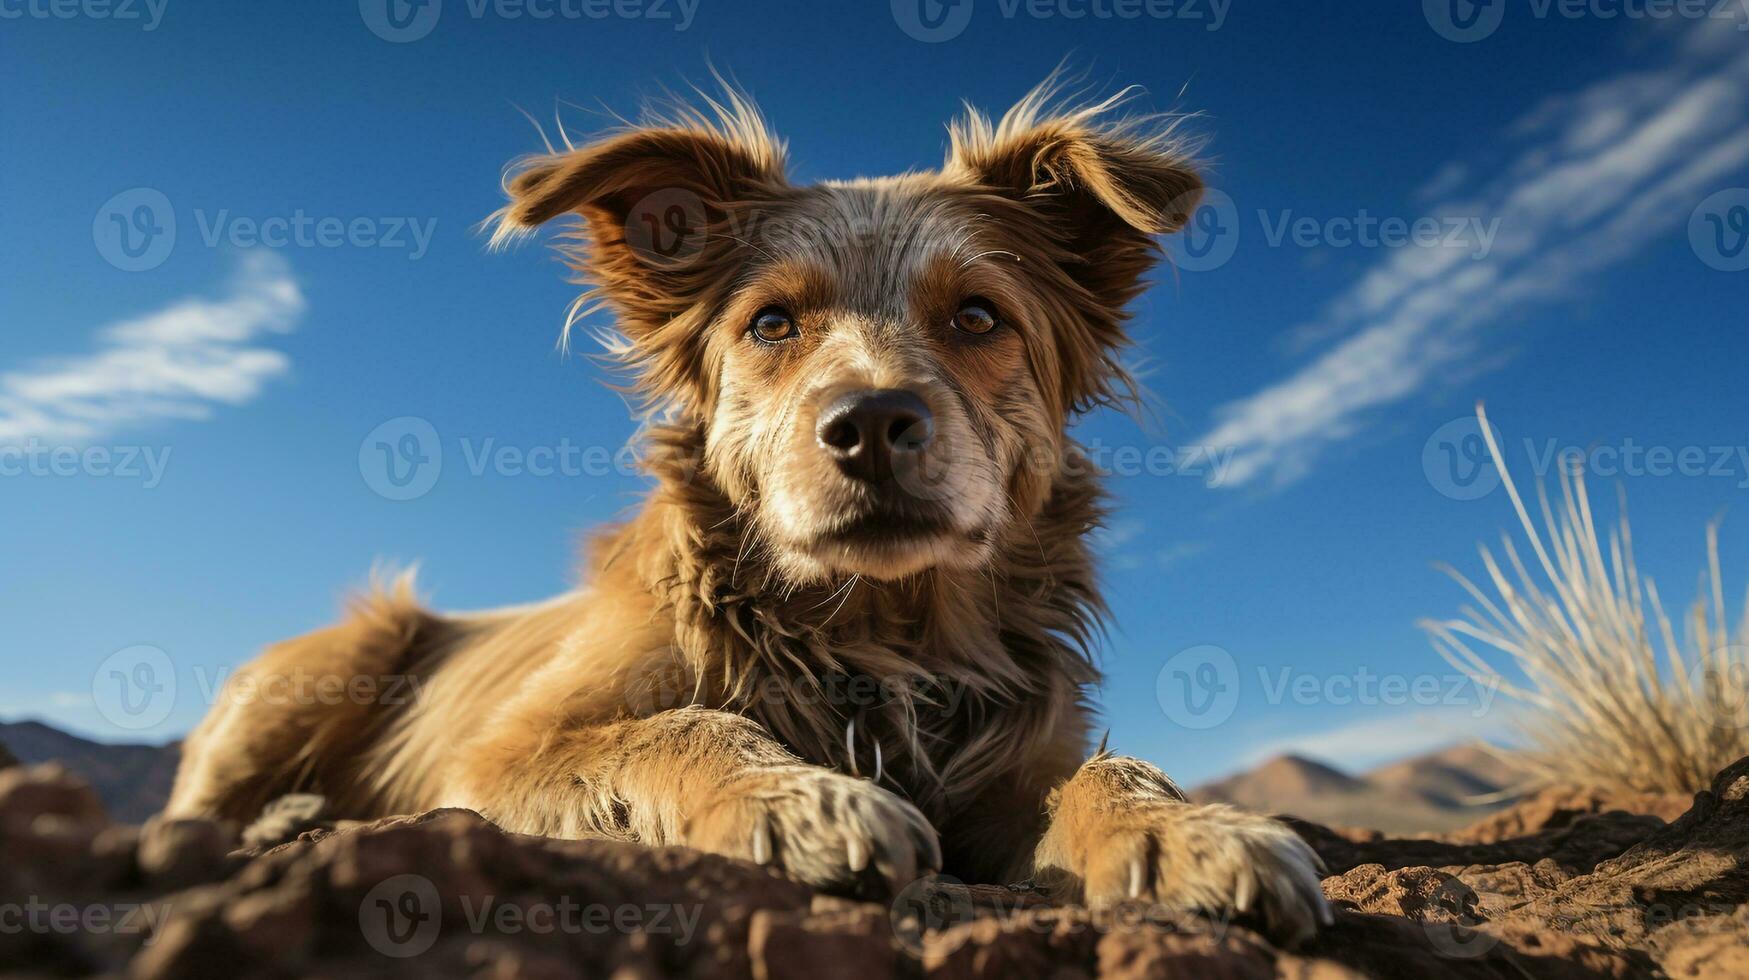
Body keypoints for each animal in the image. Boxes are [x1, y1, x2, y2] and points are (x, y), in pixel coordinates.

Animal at [170, 80, 1329, 945]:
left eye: (978, 315)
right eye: (771, 322)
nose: (870, 424)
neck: (876, 632)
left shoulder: (1011, 772)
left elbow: (1107, 770)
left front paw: (1190, 833)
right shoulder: (499, 753)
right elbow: (683, 724)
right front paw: (800, 801)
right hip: (325, 662)